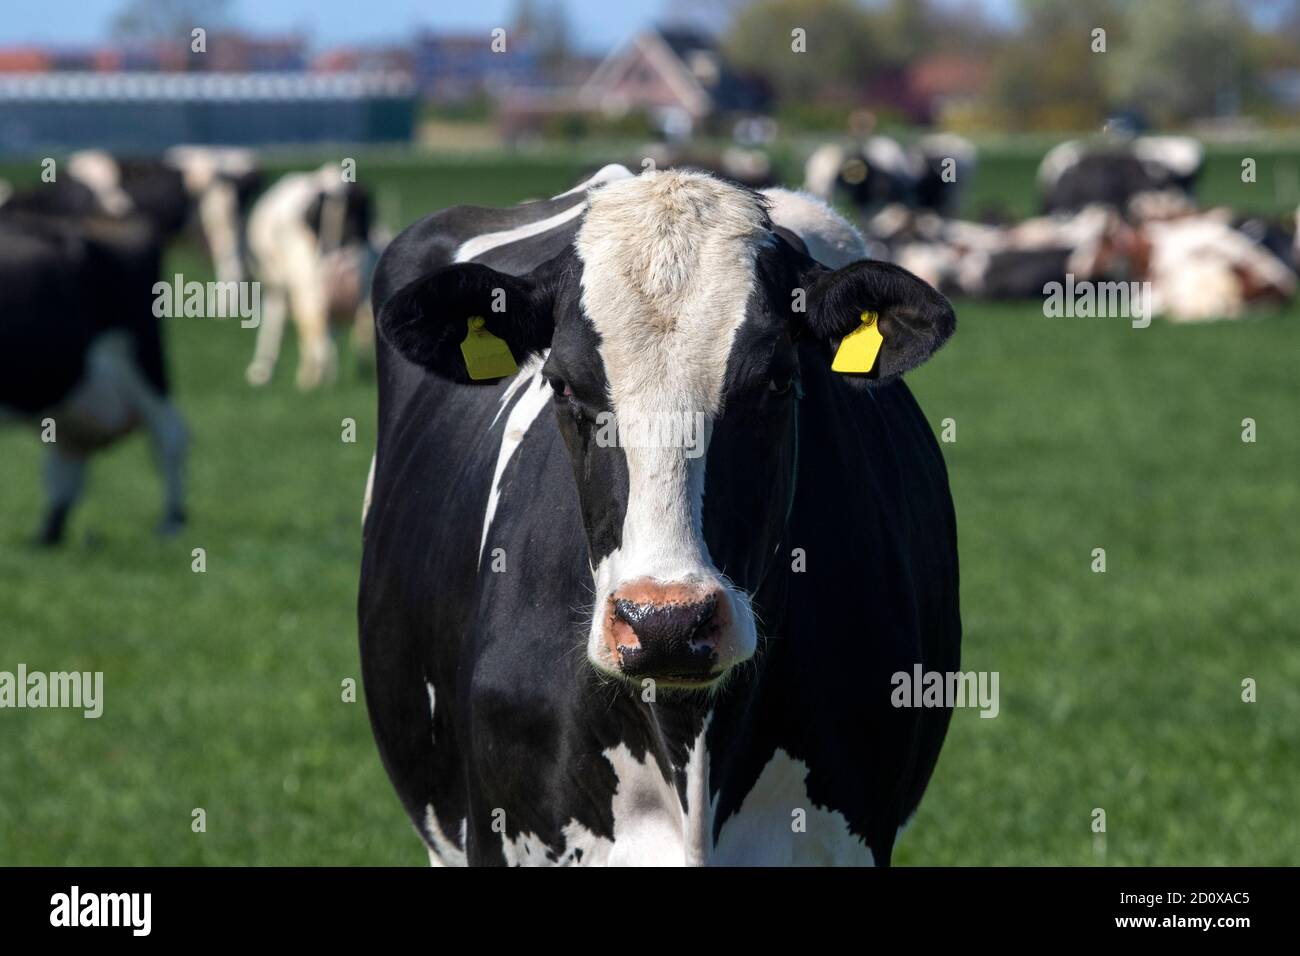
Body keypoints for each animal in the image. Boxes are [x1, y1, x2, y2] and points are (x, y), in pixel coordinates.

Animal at [244, 164, 383, 389]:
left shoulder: (277, 285)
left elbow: (273, 324)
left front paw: (262, 372)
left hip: (307, 282)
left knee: (315, 331)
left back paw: (311, 381)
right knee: (360, 328)